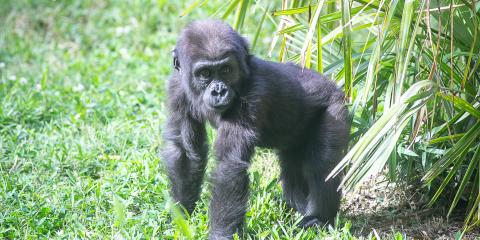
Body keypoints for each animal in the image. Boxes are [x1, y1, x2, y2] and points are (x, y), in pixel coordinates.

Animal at [163, 19, 350, 239]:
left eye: (226, 70)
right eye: (205, 74)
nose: (219, 91)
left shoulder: (254, 93)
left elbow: (229, 166)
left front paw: (220, 234)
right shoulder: (176, 87)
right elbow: (186, 152)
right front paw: (181, 215)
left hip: (335, 107)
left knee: (321, 164)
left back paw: (319, 218)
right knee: (292, 168)